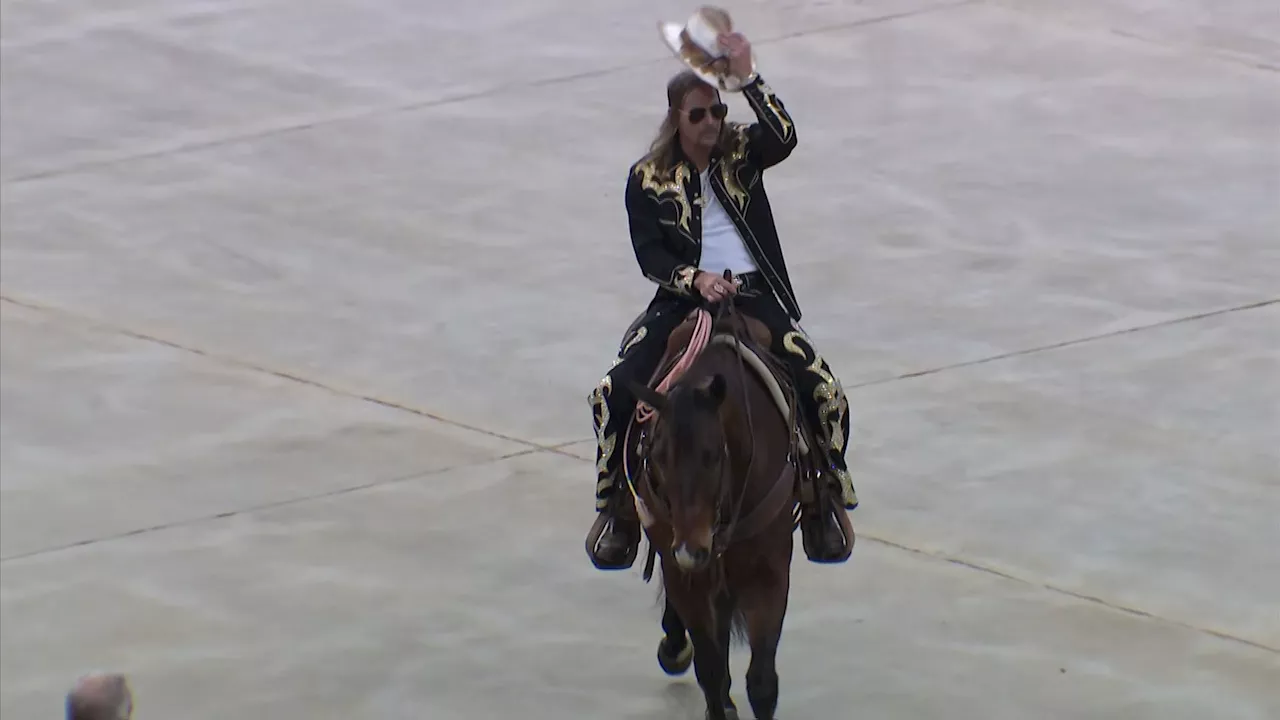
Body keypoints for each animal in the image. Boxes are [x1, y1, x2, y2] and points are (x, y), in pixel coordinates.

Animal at [624, 302, 803, 717]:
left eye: (712, 455)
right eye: (658, 457)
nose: (692, 550)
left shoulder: (770, 571)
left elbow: (762, 682)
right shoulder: (683, 571)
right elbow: (710, 668)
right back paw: (675, 646)